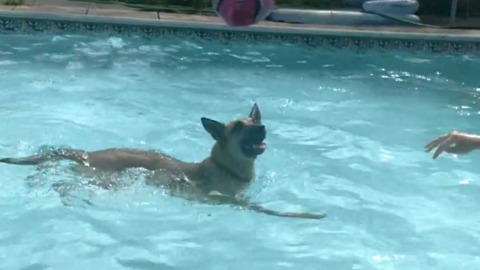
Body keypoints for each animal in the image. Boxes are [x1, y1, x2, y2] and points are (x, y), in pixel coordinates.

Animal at [0, 103, 324, 219]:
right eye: (237, 127)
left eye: (254, 121)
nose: (262, 128)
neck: (225, 167)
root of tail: (90, 153)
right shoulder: (230, 200)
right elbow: (265, 209)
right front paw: (304, 215)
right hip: (99, 180)